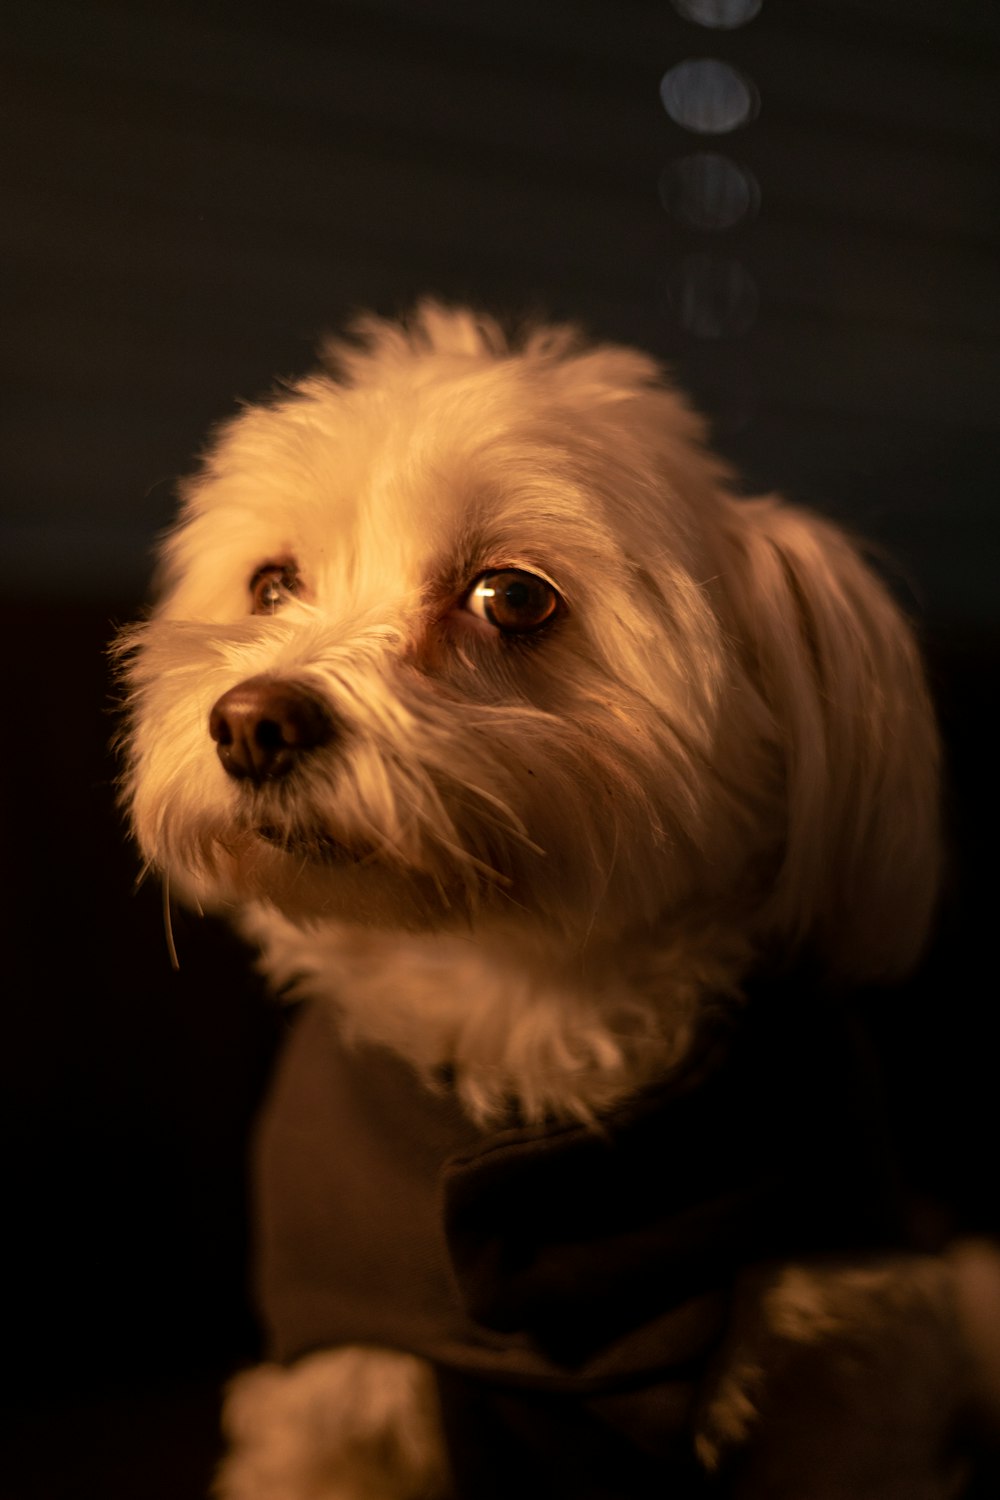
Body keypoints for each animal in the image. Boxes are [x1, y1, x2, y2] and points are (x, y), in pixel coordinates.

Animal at [115, 307, 995, 1500]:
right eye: (271, 585)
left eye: (513, 597)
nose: (252, 723)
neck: (519, 1004)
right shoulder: (334, 1404)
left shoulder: (849, 1384)